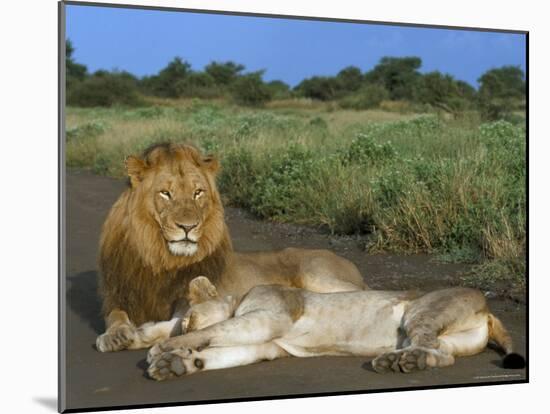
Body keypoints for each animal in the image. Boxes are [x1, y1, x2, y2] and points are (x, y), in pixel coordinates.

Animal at [97, 143, 366, 352]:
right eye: (165, 193)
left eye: (198, 193)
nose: (188, 226)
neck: (161, 259)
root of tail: (348, 263)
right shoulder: (119, 297)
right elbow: (116, 316)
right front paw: (118, 336)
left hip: (317, 276)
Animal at [146, 276, 528, 380]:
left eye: (188, 319)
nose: (176, 334)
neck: (239, 296)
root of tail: (488, 307)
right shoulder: (269, 344)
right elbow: (222, 353)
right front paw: (178, 363)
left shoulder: (269, 318)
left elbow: (213, 332)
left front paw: (161, 351)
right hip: (453, 339)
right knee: (441, 353)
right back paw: (403, 361)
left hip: (421, 311)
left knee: (431, 348)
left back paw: (397, 362)